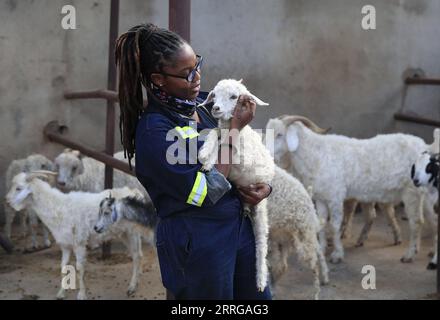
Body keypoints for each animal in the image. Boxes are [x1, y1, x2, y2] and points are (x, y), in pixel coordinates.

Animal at [5, 172, 144, 300]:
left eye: (18, 188)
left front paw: (81, 295)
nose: (6, 201)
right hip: (124, 233)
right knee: (137, 255)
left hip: (132, 232)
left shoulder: (79, 243)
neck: (58, 206)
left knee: (137, 256)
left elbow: (79, 269)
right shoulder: (65, 244)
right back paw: (137, 278)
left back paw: (132, 287)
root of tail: (135, 192)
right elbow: (63, 267)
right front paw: (61, 293)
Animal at [266, 116, 438, 264]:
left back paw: (409, 255)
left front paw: (337, 254)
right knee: (434, 220)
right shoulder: (321, 198)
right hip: (425, 195)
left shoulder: (335, 196)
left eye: (280, 134)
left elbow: (334, 225)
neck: (317, 154)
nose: (266, 153)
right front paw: (322, 249)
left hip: (412, 192)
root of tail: (425, 147)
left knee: (417, 222)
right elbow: (322, 224)